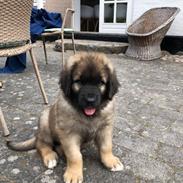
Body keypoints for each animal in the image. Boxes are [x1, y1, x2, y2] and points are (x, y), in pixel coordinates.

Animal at [7, 51, 123, 183]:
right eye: (79, 82)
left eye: (101, 83)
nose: (90, 100)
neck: (88, 115)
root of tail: (38, 134)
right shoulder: (69, 133)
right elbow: (75, 155)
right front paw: (74, 174)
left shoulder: (105, 128)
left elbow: (106, 147)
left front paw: (111, 161)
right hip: (45, 121)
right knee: (41, 144)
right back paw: (50, 156)